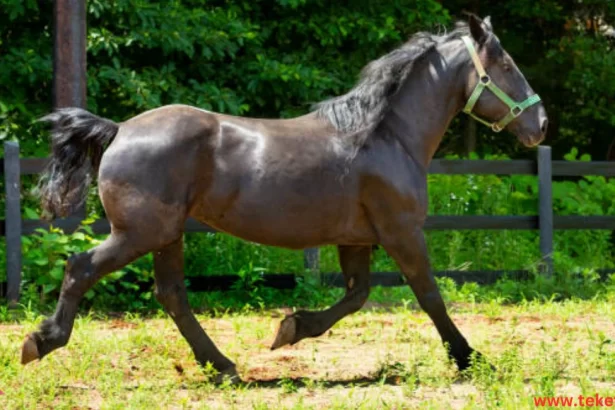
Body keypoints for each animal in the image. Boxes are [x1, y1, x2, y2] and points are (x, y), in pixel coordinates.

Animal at [20, 13, 548, 384]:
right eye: (505, 65)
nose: (541, 124)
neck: (386, 137)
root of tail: (119, 129)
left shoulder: (357, 239)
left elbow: (356, 295)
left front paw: (290, 329)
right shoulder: (402, 232)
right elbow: (429, 294)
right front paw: (469, 358)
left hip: (165, 235)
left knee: (171, 295)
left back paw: (223, 366)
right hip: (140, 233)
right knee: (82, 268)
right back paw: (41, 341)